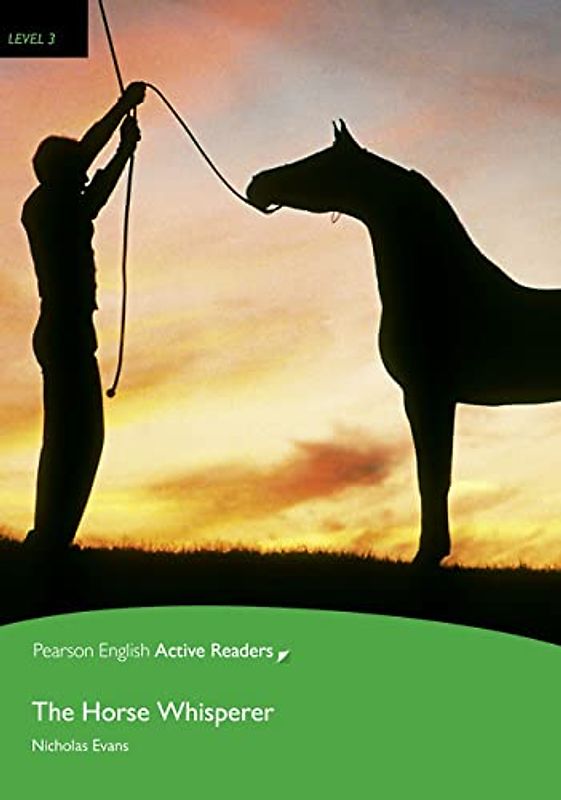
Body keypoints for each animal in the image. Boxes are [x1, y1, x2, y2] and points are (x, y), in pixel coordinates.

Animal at [246, 120, 561, 566]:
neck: (444, 291)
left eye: (321, 162)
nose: (258, 184)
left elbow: (433, 475)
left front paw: (429, 553)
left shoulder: (427, 395)